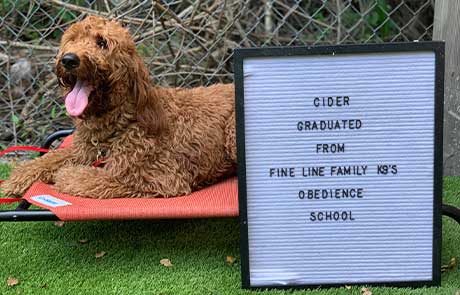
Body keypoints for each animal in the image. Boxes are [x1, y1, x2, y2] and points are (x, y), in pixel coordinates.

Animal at [0, 15, 237, 199]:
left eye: (102, 43)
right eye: (71, 40)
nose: (68, 59)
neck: (116, 124)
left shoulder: (160, 176)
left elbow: (86, 177)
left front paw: (66, 176)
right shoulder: (84, 151)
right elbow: (50, 158)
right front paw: (16, 178)